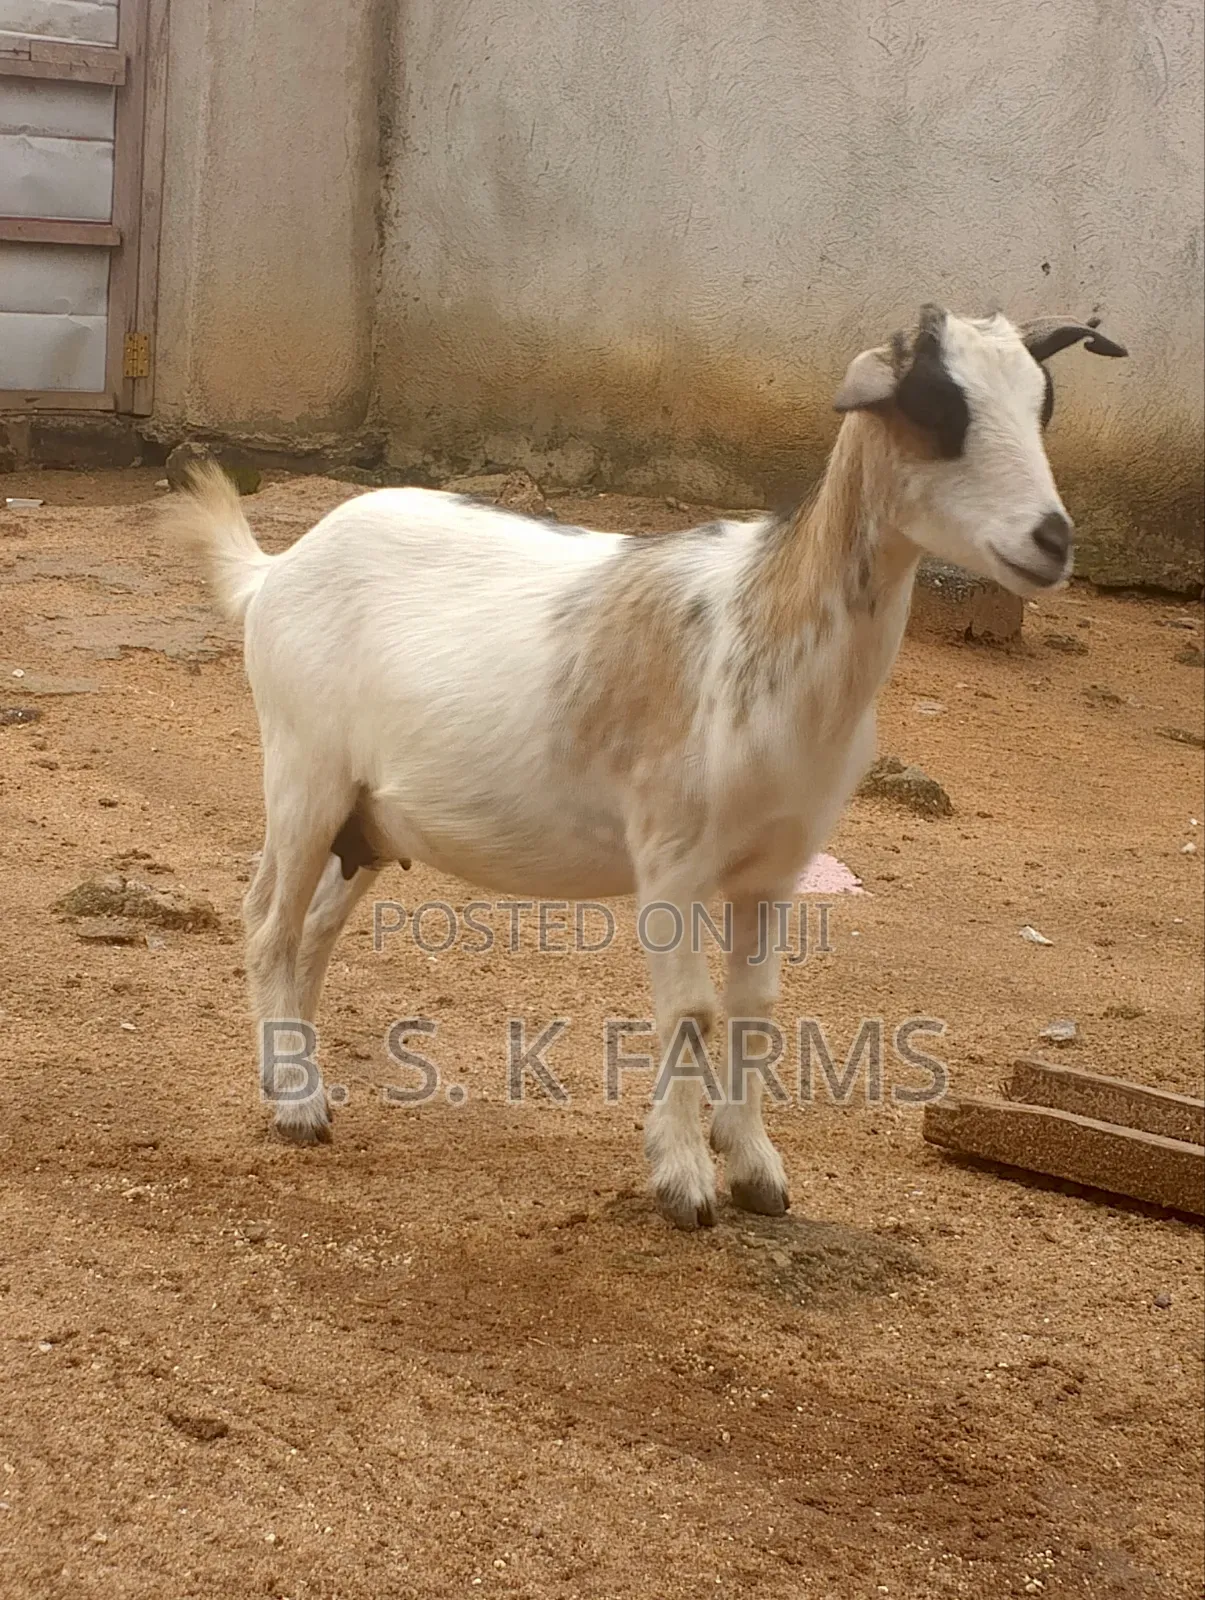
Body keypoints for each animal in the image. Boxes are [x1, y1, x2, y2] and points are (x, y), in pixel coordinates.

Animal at [167, 305, 1126, 1229]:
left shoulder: (775, 869)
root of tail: (274, 570)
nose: (1051, 540)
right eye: (935, 404)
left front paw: (756, 1171)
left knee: (314, 934)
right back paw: (295, 1106)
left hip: (368, 818)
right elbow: (690, 1011)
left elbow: (755, 1007)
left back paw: (295, 1077)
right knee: (267, 924)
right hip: (303, 772)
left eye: (1041, 405)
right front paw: (682, 1181)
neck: (761, 622)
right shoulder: (670, 855)